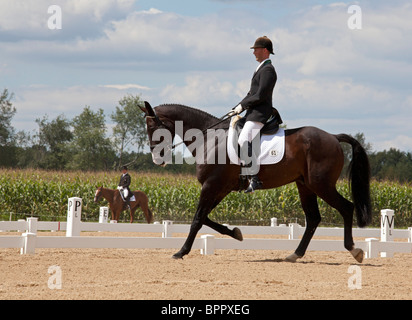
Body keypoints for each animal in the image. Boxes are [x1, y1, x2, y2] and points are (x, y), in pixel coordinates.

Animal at [140, 102, 372, 262]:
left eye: (153, 127)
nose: (157, 159)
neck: (210, 139)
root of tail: (333, 137)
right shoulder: (220, 188)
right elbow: (205, 217)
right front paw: (235, 233)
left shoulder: (211, 185)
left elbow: (197, 219)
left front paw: (181, 252)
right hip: (305, 185)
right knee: (313, 218)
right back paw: (295, 255)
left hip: (321, 185)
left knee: (346, 208)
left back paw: (355, 250)